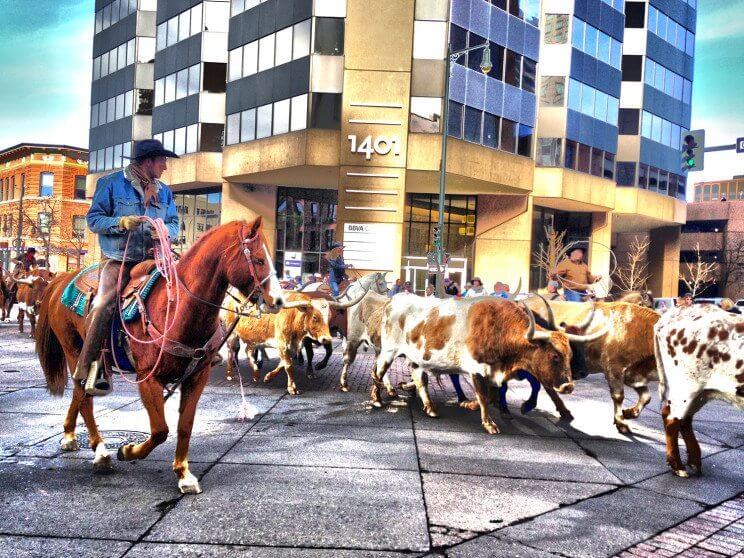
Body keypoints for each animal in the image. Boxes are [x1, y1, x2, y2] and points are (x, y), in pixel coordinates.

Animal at [34, 218, 284, 494]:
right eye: (259, 259)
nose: (278, 300)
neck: (176, 309)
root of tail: (63, 278)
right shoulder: (148, 378)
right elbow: (160, 430)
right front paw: (128, 450)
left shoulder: (197, 377)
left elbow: (184, 426)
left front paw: (184, 475)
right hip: (75, 351)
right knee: (83, 396)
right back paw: (100, 452)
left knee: (79, 395)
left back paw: (69, 435)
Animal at [372, 296, 604, 436]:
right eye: (554, 356)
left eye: (570, 354)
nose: (568, 386)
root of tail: (395, 299)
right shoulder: (477, 369)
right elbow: (484, 396)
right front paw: (489, 423)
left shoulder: (494, 373)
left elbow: (491, 395)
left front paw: (470, 405)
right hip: (388, 351)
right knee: (378, 371)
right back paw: (376, 399)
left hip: (418, 359)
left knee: (420, 380)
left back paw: (429, 406)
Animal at [528, 300, 660, 436]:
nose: (581, 372)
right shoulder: (614, 369)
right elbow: (618, 396)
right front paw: (621, 424)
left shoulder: (634, 376)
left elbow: (646, 397)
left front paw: (628, 413)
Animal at [656, 304, 744, 480]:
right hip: (686, 387)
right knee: (672, 419)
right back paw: (678, 466)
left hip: (700, 393)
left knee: (683, 419)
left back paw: (694, 461)